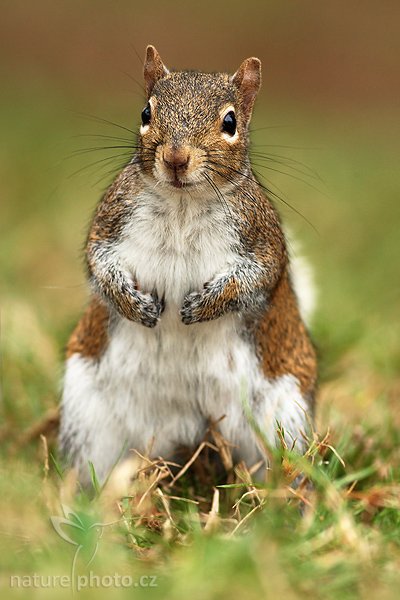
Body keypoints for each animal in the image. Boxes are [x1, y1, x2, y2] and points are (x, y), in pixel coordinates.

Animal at [60, 47, 316, 488]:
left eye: (230, 122)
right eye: (146, 112)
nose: (176, 159)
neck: (183, 203)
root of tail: (187, 430)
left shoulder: (261, 238)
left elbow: (256, 279)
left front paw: (203, 306)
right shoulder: (111, 221)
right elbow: (99, 264)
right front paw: (135, 306)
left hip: (286, 417)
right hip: (87, 414)